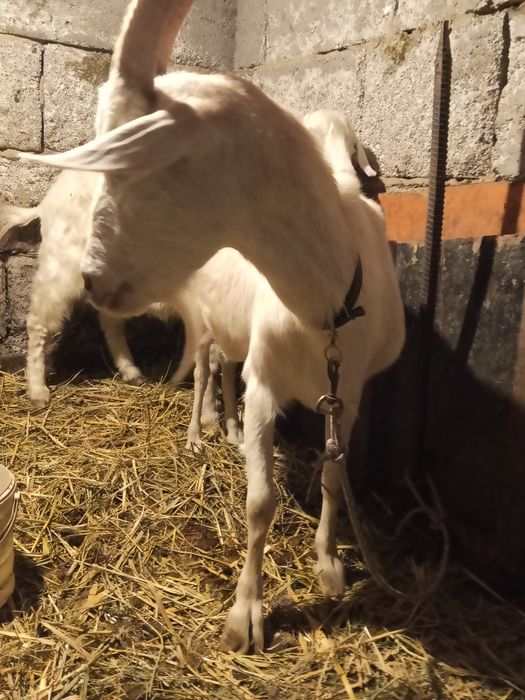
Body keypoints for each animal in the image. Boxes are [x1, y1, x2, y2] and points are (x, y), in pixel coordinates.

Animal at [23, 0, 405, 653]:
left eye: (132, 161)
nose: (96, 279)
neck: (323, 306)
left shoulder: (348, 395)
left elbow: (335, 477)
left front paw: (329, 565)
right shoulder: (268, 384)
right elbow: (260, 503)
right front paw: (245, 617)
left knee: (219, 367)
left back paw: (215, 424)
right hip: (182, 317)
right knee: (196, 366)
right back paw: (177, 426)